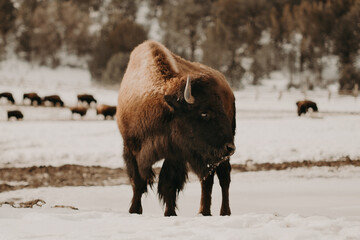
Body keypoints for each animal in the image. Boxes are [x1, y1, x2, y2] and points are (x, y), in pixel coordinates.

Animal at [116, 40, 236, 217]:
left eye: (220, 109)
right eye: (204, 112)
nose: (230, 147)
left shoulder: (175, 155)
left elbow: (168, 184)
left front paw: (170, 213)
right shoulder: (131, 149)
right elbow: (137, 182)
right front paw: (134, 211)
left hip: (220, 155)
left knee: (223, 177)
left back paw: (224, 212)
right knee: (207, 180)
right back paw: (204, 211)